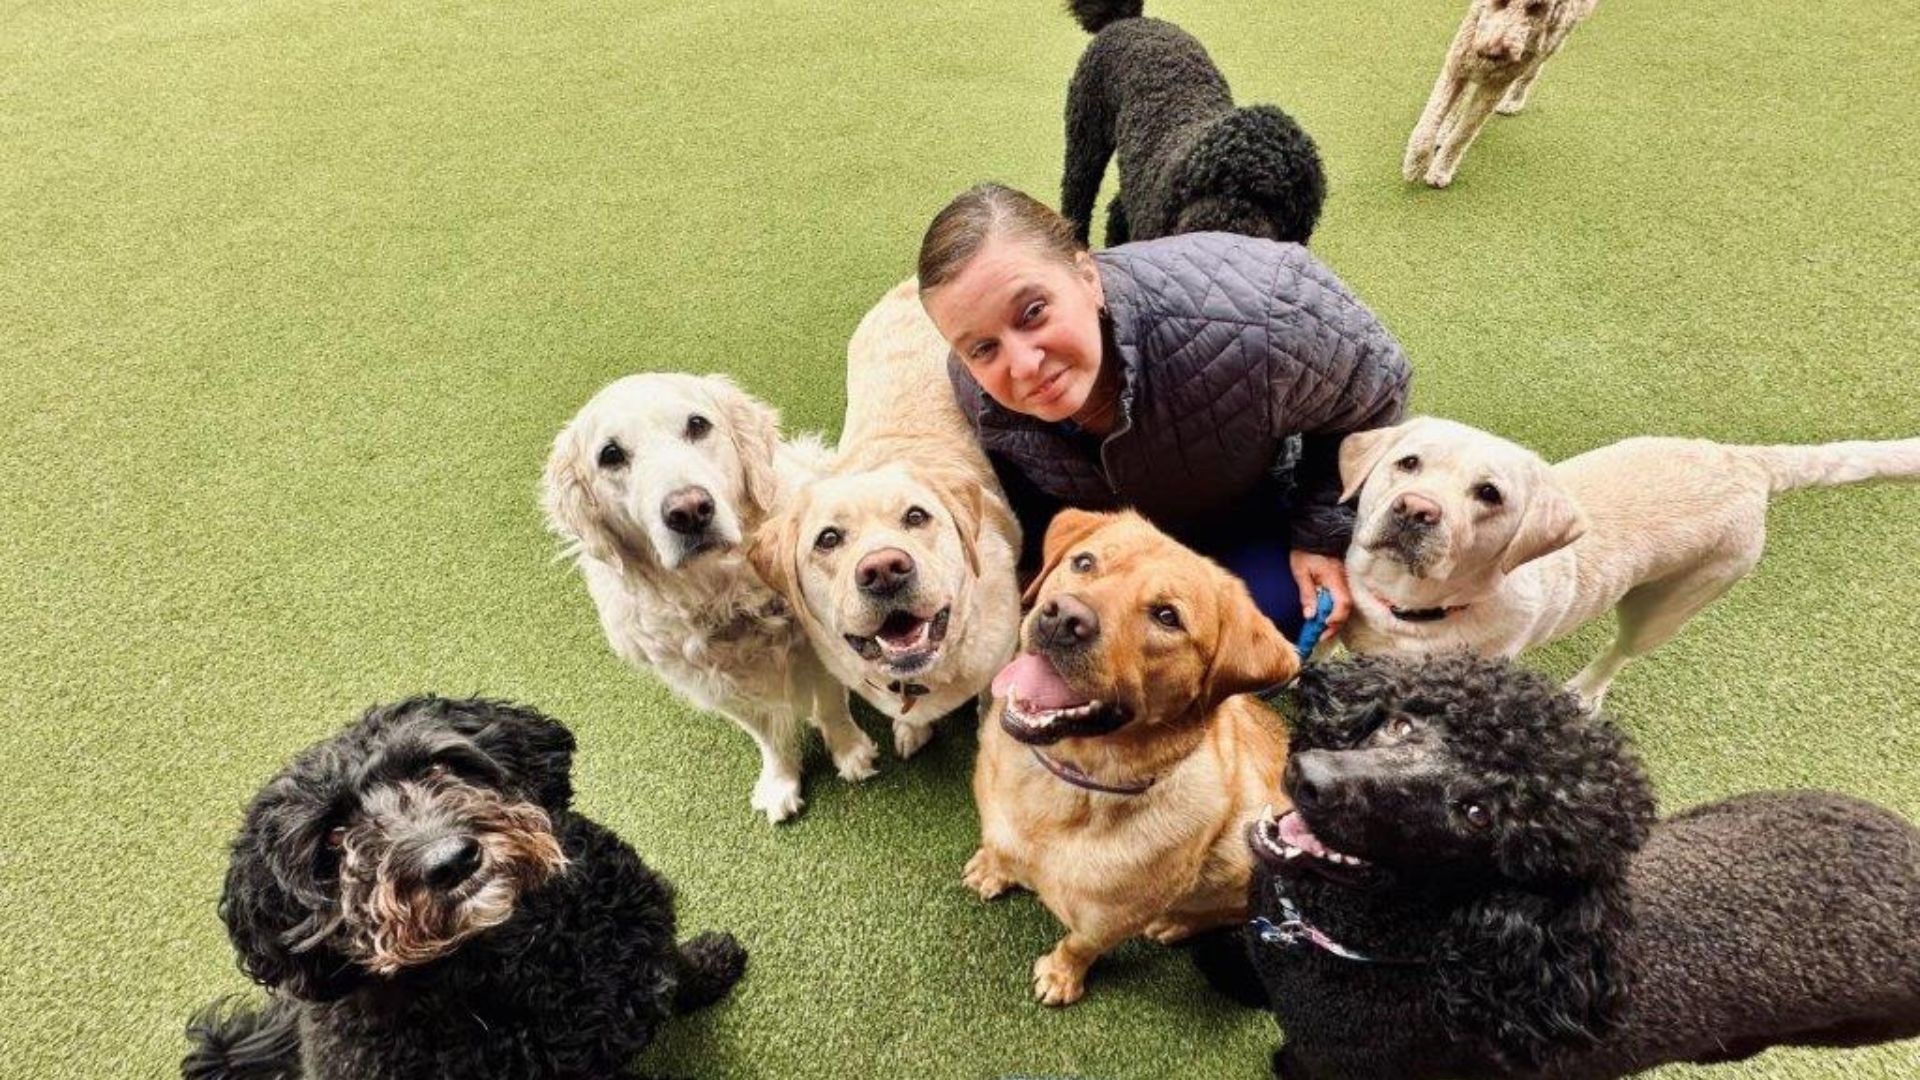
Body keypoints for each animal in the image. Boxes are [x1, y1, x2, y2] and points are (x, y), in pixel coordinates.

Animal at [181, 691, 741, 1068]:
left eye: (436, 767)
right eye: (335, 837)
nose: (449, 861)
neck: (526, 958)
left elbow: (677, 964)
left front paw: (714, 963)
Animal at [1067, 0, 1320, 245]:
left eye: (1271, 204)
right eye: (1207, 187)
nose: (1212, 231)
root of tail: (1129, 19)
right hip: (1085, 135)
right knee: (1076, 196)